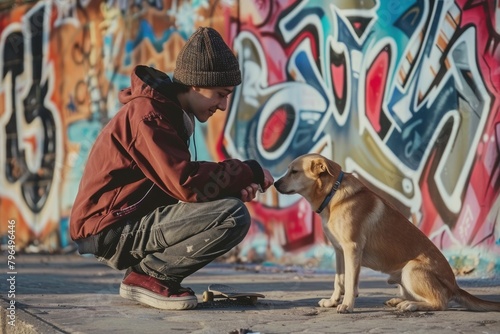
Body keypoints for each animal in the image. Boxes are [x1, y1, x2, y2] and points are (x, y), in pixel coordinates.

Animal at [276, 154, 498, 314]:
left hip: (411, 269)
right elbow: (339, 281)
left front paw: (347, 305)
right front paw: (332, 301)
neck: (333, 194)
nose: (275, 184)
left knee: (440, 302)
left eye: (294, 171)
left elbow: (350, 282)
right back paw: (399, 300)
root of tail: (455, 286)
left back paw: (409, 305)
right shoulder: (339, 251)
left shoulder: (351, 248)